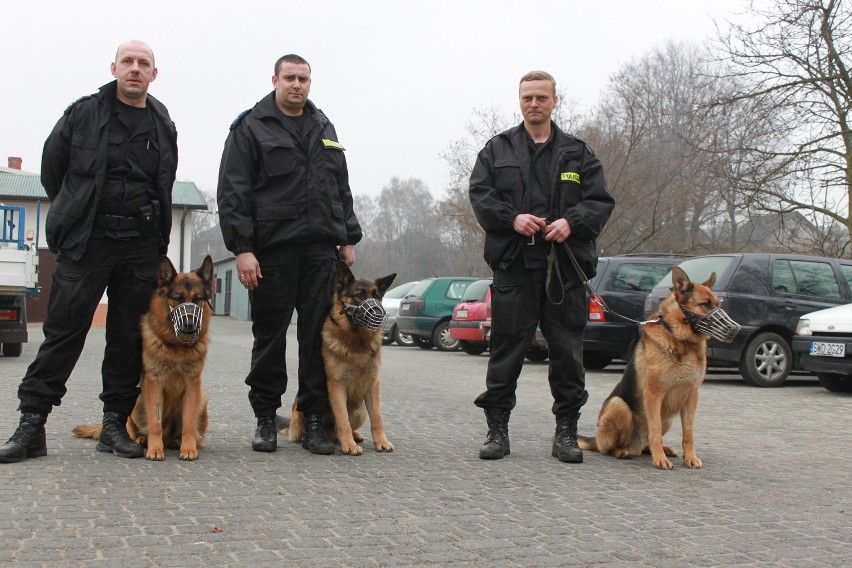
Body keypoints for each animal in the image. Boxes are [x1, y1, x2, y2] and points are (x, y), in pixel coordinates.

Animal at [73, 258, 215, 462]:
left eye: (197, 299)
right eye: (179, 298)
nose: (189, 325)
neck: (176, 346)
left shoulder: (192, 385)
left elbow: (188, 422)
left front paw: (188, 448)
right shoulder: (154, 383)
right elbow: (154, 422)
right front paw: (155, 449)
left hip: (201, 399)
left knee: (189, 430)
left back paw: (178, 441)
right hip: (137, 401)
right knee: (136, 428)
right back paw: (141, 439)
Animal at [282, 262, 396, 458]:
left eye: (377, 297)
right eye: (359, 295)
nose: (378, 313)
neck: (357, 341)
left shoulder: (373, 385)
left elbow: (377, 418)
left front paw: (381, 442)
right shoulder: (336, 386)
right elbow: (343, 420)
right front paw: (349, 445)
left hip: (360, 411)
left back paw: (355, 435)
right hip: (301, 410)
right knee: (326, 430)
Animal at [580, 266, 740, 470]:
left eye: (717, 304)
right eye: (705, 304)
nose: (736, 329)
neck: (680, 340)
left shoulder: (691, 396)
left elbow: (688, 433)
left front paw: (690, 457)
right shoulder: (653, 394)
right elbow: (654, 430)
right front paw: (660, 460)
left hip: (668, 417)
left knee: (646, 445)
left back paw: (663, 449)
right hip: (619, 406)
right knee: (610, 447)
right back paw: (623, 451)